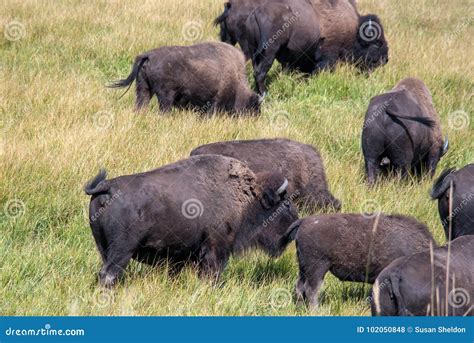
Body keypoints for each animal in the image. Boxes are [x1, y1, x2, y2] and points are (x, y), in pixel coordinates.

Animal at [84, 155, 298, 288]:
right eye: (286, 204)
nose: (296, 226)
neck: (247, 197)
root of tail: (107, 186)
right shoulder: (216, 249)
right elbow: (212, 274)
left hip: (103, 248)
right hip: (122, 250)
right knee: (109, 273)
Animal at [108, 42, 262, 114]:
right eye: (253, 106)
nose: (254, 118)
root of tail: (148, 55)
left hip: (144, 89)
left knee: (141, 105)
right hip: (165, 96)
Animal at [290, 215, 436, 310]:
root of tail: (305, 221)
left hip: (304, 269)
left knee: (300, 287)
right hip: (317, 269)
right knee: (311, 290)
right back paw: (316, 310)